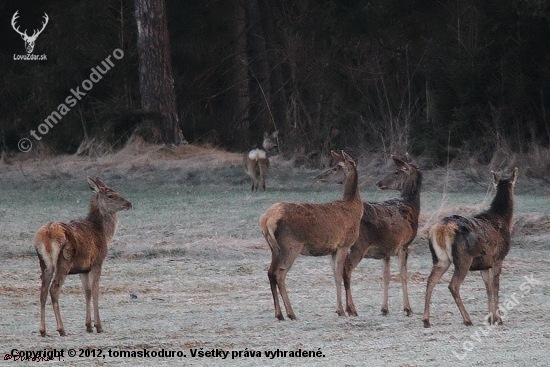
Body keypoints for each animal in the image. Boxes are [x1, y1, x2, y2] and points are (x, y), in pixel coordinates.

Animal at [35, 178, 133, 336]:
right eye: (111, 195)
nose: (129, 203)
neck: (103, 232)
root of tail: (47, 233)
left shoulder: (83, 268)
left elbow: (86, 292)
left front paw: (88, 325)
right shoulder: (97, 262)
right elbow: (95, 291)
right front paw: (98, 326)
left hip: (44, 262)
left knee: (43, 290)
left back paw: (43, 330)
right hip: (64, 260)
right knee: (54, 289)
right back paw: (61, 328)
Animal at [260, 151, 364, 320]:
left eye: (336, 168)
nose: (319, 176)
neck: (355, 210)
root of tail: (266, 219)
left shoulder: (333, 249)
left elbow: (335, 274)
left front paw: (345, 309)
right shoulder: (344, 244)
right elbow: (339, 275)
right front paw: (343, 310)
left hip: (273, 248)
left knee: (270, 273)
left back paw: (279, 313)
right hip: (291, 245)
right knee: (279, 274)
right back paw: (291, 313)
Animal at [316, 154, 424, 318]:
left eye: (396, 172)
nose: (379, 183)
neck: (411, 206)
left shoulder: (386, 251)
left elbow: (386, 277)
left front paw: (384, 309)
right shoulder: (404, 244)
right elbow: (403, 275)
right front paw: (408, 309)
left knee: (337, 271)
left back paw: (341, 308)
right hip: (357, 246)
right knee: (346, 270)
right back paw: (351, 309)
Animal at [424, 168, 520, 330]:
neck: (503, 220)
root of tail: (441, 229)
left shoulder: (485, 264)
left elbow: (488, 288)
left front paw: (491, 318)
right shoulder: (498, 258)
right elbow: (496, 287)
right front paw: (498, 319)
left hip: (440, 258)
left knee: (430, 280)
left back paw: (426, 320)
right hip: (463, 258)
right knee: (453, 285)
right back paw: (467, 319)